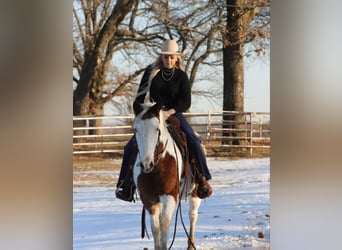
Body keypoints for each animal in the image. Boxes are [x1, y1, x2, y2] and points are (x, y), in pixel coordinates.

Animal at [132, 100, 202, 249]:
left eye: (157, 129)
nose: (146, 164)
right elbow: (155, 228)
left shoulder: (170, 196)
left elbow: (164, 224)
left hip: (194, 194)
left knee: (193, 215)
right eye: (135, 130)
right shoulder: (149, 199)